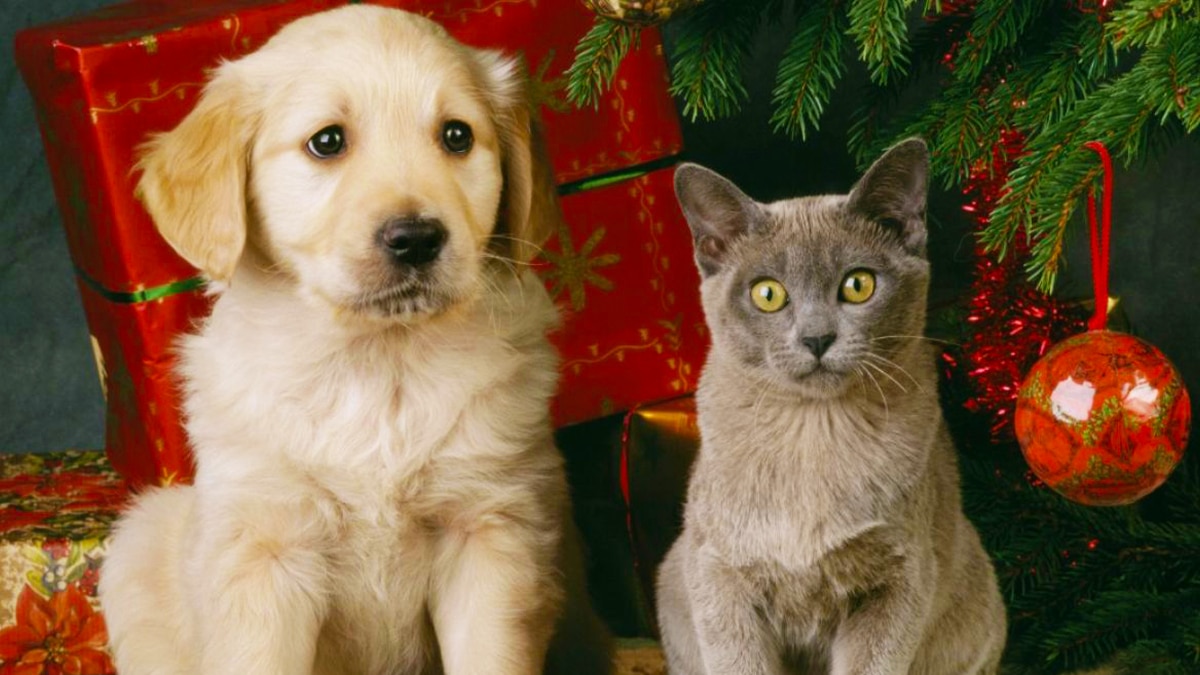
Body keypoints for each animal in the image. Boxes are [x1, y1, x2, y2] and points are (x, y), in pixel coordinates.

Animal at [98, 6, 614, 672]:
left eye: (457, 136)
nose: (416, 239)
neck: (377, 359)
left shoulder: (487, 530)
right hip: (140, 537)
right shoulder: (264, 547)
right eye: (327, 142)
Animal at [662, 139, 1008, 667]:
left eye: (858, 285)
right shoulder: (720, 577)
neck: (813, 431)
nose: (817, 338)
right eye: (767, 294)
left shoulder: (900, 580)